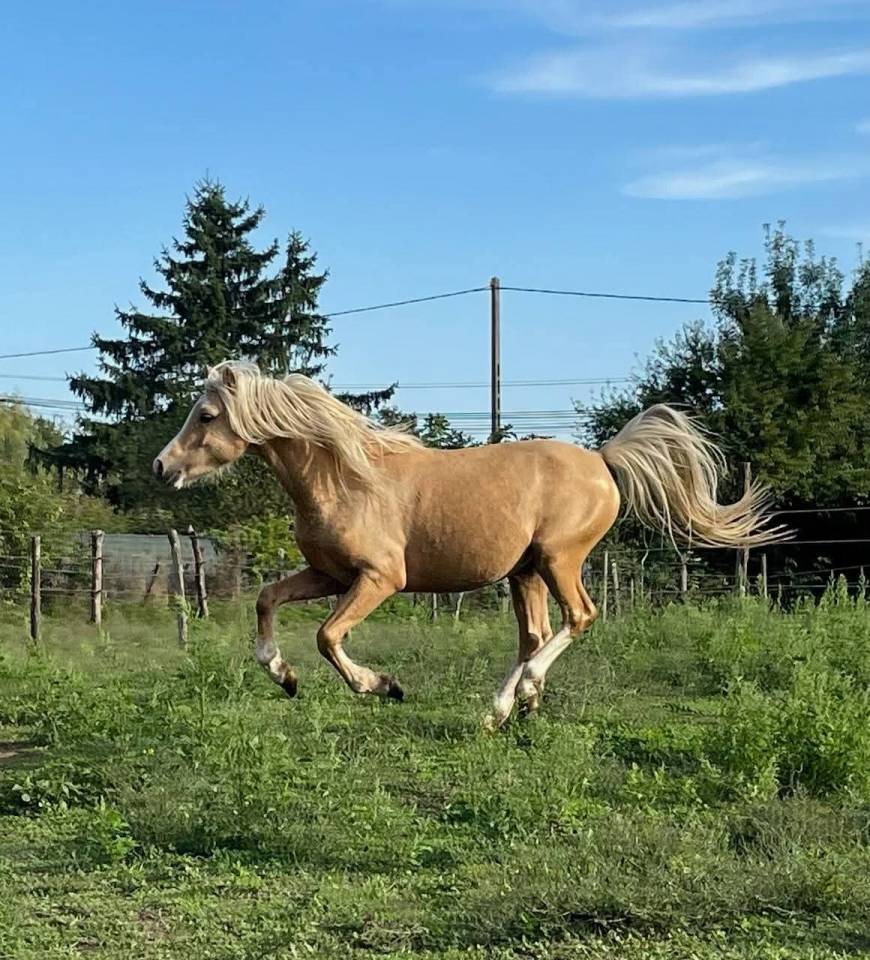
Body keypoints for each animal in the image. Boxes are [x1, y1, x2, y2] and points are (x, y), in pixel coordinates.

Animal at [154, 360, 782, 728]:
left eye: (206, 415)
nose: (161, 467)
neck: (345, 478)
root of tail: (603, 460)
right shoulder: (329, 575)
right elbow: (266, 599)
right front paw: (283, 676)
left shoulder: (380, 579)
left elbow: (328, 637)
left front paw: (383, 686)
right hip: (524, 573)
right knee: (536, 636)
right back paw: (509, 710)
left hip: (558, 559)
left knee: (577, 619)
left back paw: (518, 695)